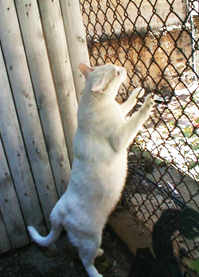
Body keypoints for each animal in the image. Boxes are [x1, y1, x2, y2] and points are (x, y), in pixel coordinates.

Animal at [27, 63, 153, 276]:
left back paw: (100, 253)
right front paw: (147, 105)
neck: (98, 102)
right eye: (116, 72)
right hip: (91, 238)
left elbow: (125, 106)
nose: (123, 68)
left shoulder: (119, 111)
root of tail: (59, 211)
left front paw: (136, 94)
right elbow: (134, 120)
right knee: (84, 259)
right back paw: (96, 270)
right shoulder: (119, 139)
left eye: (115, 67)